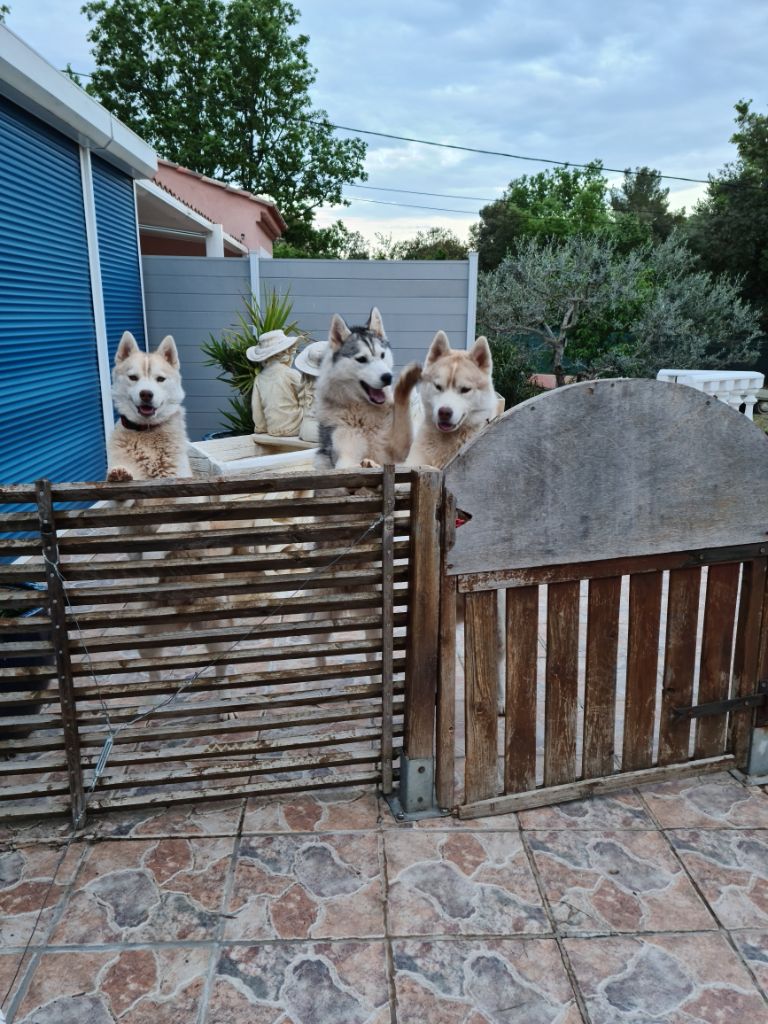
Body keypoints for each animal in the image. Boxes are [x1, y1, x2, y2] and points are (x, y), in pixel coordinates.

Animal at [317, 309, 421, 468]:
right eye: (361, 359)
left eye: (382, 355)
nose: (388, 377)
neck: (365, 415)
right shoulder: (344, 457)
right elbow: (350, 465)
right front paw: (369, 463)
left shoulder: (402, 451)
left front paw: (407, 378)